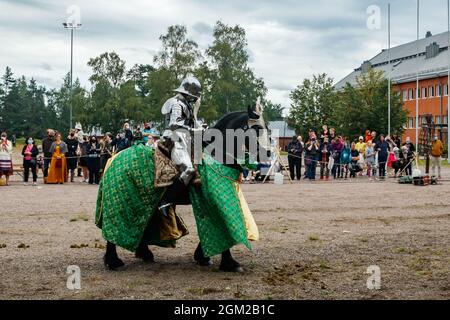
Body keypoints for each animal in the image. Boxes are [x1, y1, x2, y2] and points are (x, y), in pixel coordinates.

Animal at [101, 102, 270, 272]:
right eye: (256, 129)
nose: (268, 153)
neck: (216, 154)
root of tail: (114, 158)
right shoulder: (216, 198)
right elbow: (224, 227)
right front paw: (229, 263)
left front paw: (202, 257)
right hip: (122, 201)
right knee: (114, 228)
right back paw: (113, 261)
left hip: (145, 202)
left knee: (142, 225)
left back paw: (144, 253)